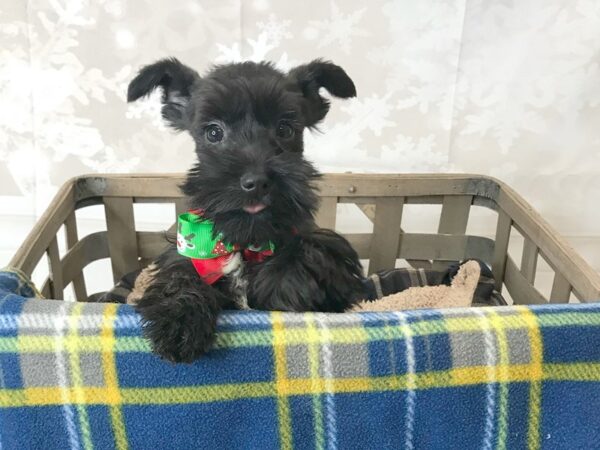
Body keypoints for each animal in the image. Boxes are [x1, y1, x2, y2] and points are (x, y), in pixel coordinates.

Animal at [127, 59, 366, 362]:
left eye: (285, 129)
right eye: (213, 132)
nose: (256, 182)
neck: (246, 241)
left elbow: (307, 253)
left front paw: (284, 285)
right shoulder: (189, 252)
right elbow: (179, 275)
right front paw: (178, 324)